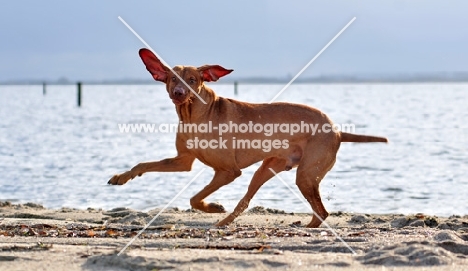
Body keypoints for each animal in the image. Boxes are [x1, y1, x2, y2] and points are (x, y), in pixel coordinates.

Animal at [109, 48, 388, 227]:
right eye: (171, 78)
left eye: (193, 80)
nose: (178, 93)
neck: (193, 116)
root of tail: (337, 130)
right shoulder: (184, 161)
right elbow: (145, 164)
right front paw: (123, 176)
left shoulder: (228, 171)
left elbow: (194, 197)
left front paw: (212, 206)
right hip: (267, 169)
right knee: (249, 203)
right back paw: (226, 222)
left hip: (305, 175)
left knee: (322, 211)